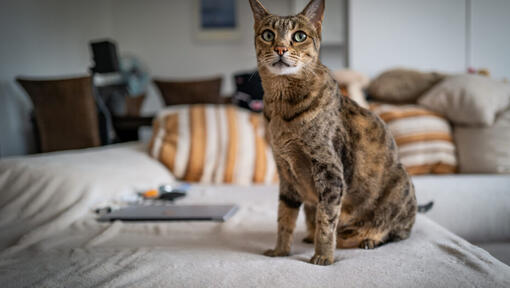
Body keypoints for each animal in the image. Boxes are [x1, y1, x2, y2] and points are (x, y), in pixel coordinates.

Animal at [249, 0, 420, 266]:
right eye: (268, 35)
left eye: (299, 36)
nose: (280, 48)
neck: (281, 109)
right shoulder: (285, 171)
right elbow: (284, 217)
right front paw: (280, 250)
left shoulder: (330, 171)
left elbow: (326, 220)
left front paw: (323, 256)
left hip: (401, 187)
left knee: (397, 231)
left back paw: (369, 239)